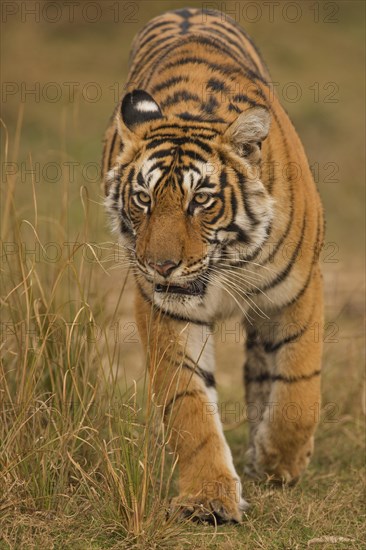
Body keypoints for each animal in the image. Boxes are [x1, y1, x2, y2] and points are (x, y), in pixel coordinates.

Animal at [101, 8, 324, 528]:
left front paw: (280, 461)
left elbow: (298, 389)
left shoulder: (299, 291)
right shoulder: (166, 310)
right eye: (142, 199)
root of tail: (185, 10)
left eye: (200, 201)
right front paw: (208, 499)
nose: (160, 265)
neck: (227, 261)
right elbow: (189, 407)